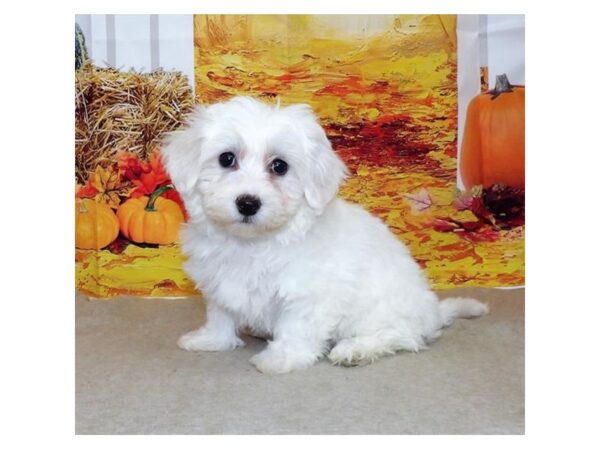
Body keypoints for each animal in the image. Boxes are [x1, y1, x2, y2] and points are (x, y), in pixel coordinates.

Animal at [163, 96, 488, 374]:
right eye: (226, 158)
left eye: (279, 166)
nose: (248, 202)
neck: (251, 242)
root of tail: (432, 312)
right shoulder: (218, 280)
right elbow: (220, 314)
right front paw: (212, 339)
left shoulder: (306, 292)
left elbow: (296, 326)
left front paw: (282, 359)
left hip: (383, 308)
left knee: (402, 336)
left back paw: (355, 350)